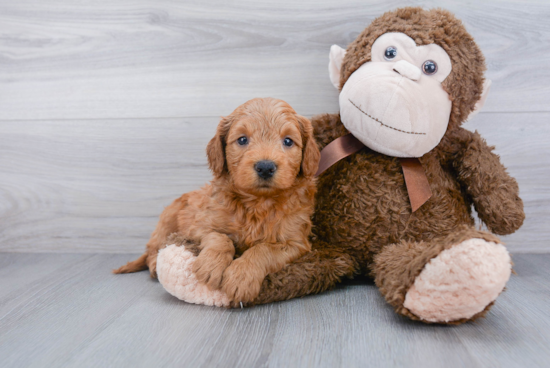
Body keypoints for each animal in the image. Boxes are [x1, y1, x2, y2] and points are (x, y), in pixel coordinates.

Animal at [115, 97, 324, 302]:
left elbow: (263, 249)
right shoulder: (199, 225)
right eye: (242, 139)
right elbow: (220, 238)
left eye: (288, 141)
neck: (257, 203)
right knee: (153, 248)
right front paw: (211, 265)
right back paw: (152, 264)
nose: (265, 167)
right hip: (167, 219)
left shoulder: (296, 242)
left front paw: (242, 276)